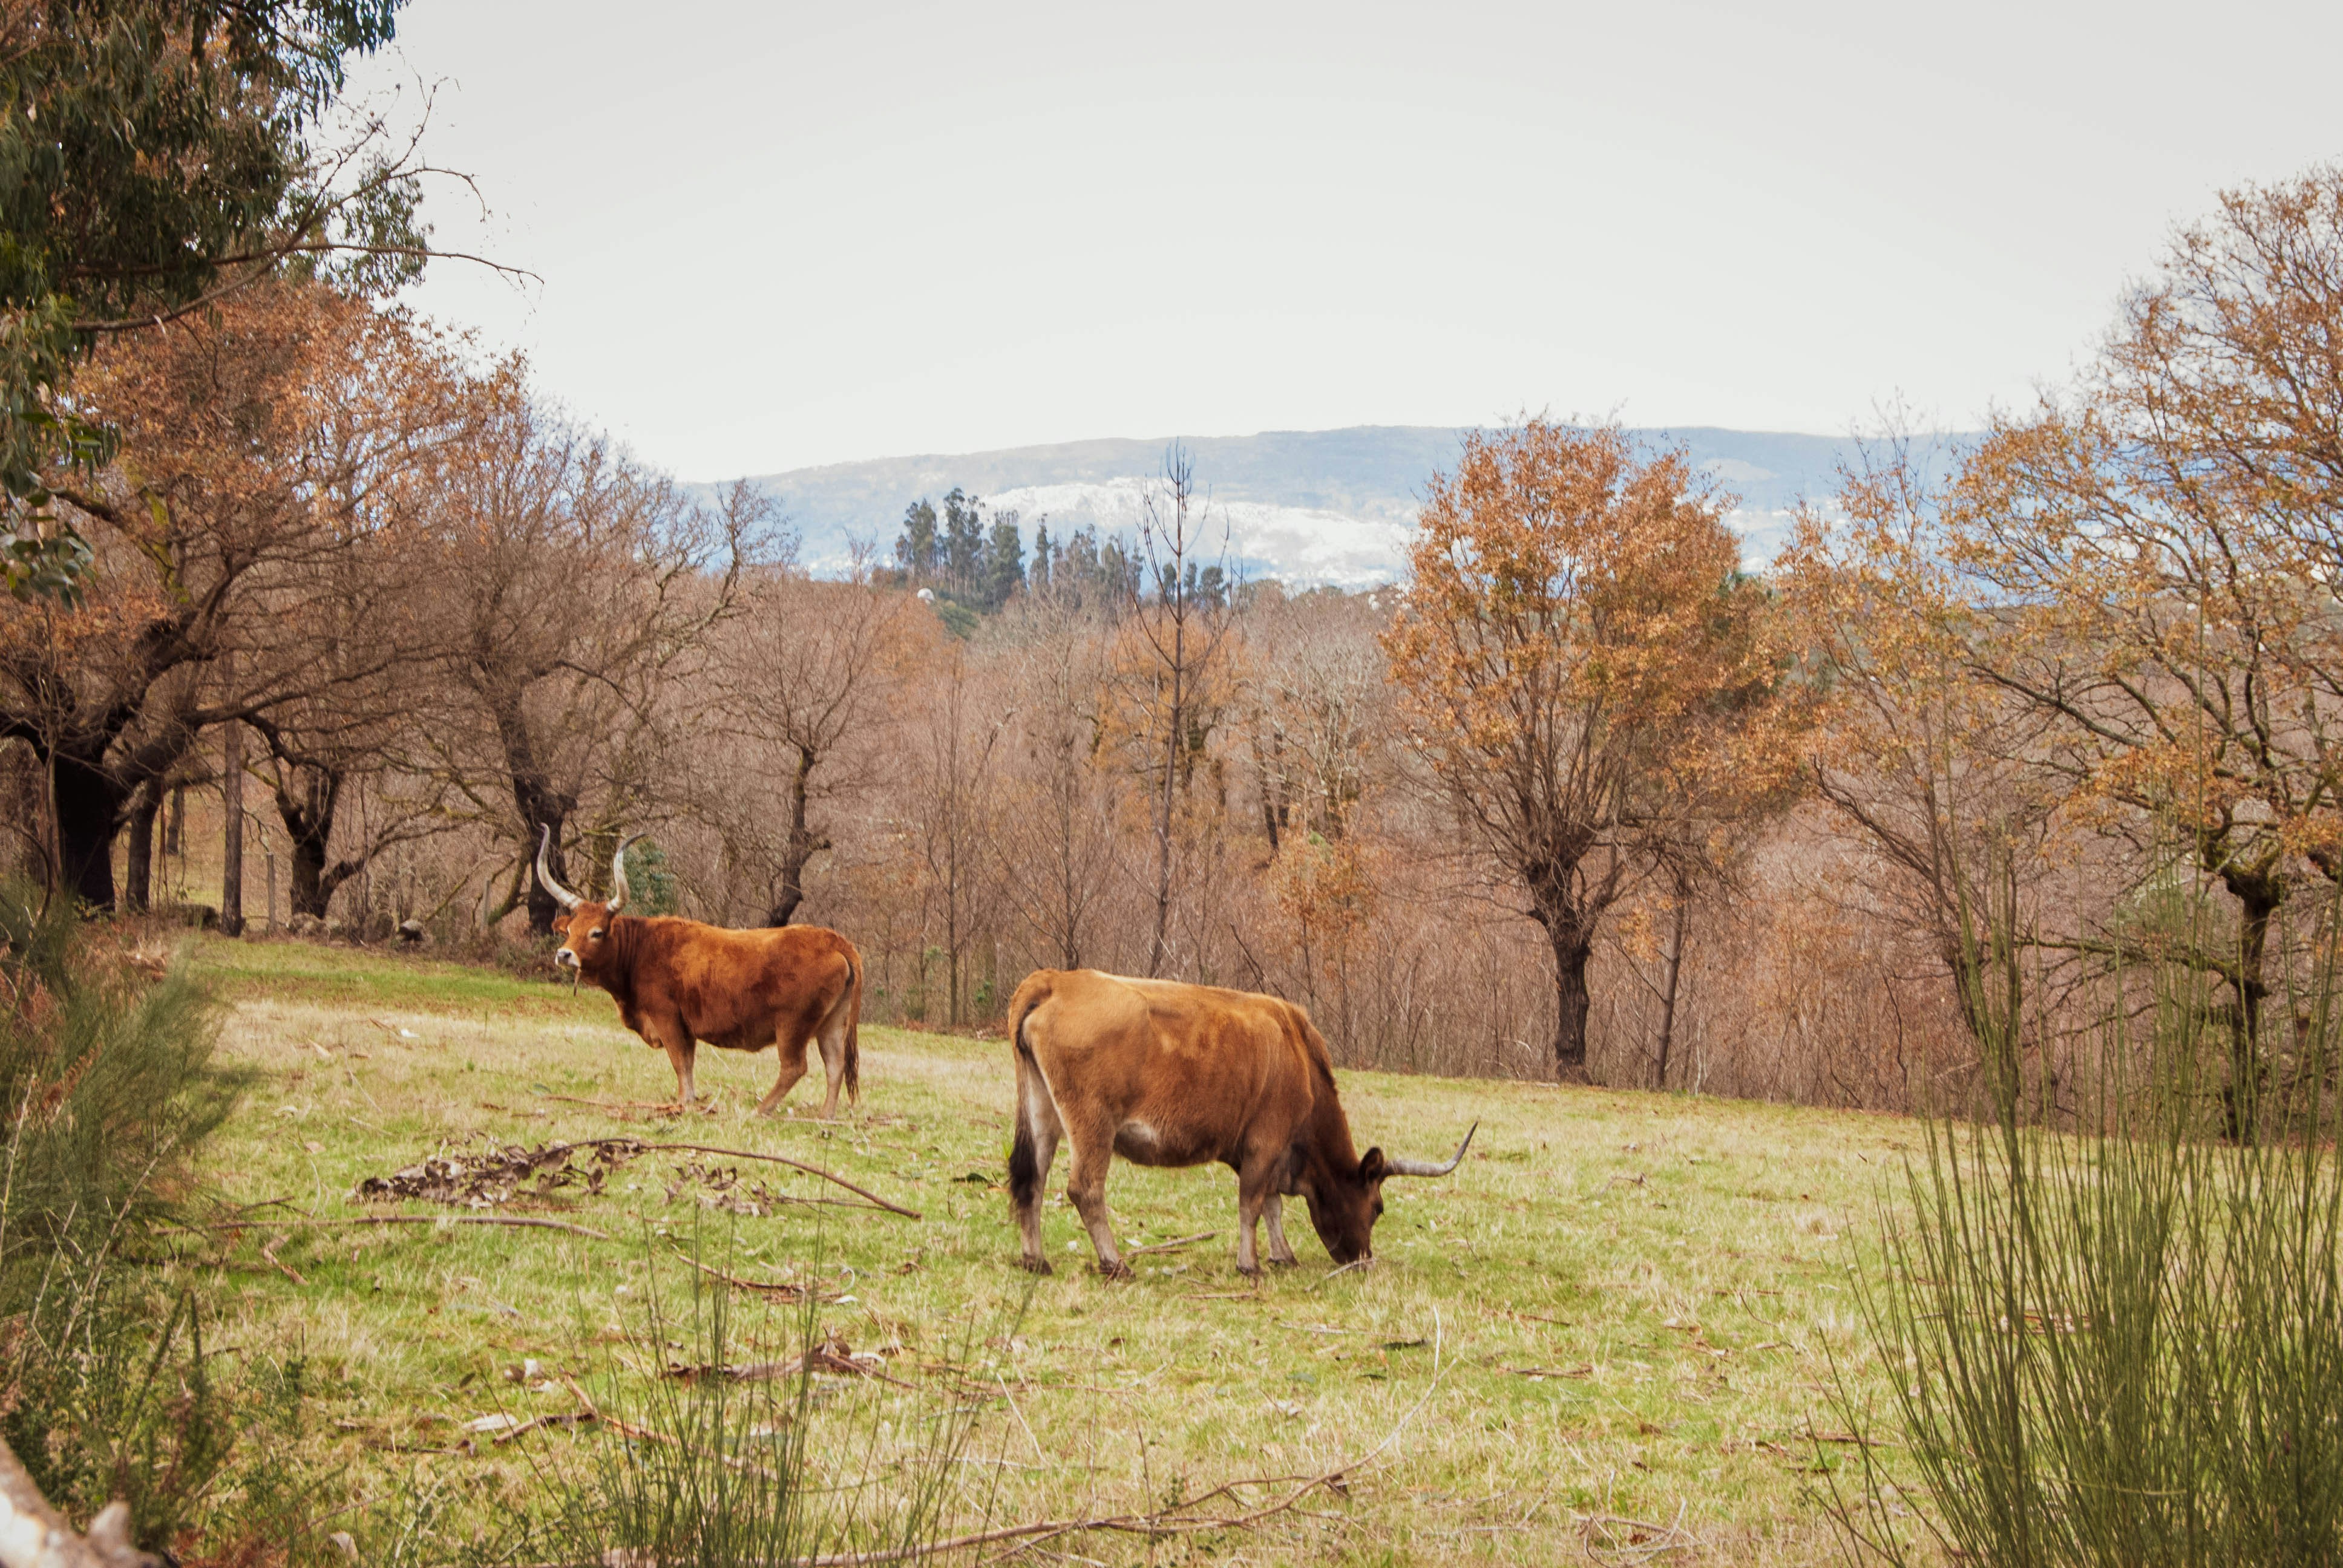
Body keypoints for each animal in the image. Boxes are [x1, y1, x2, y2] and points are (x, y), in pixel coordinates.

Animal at [536, 829, 867, 1111]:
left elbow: (679, 1061)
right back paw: (825, 1116)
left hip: (792, 1025)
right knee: (835, 1065)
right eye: (570, 930)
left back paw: (760, 1110)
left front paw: (684, 1103)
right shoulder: (687, 1026)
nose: (564, 954)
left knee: (795, 1067)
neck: (642, 947)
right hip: (832, 1023)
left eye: (597, 932)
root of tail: (832, 939)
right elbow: (688, 1062)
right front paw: (691, 1100)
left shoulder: (666, 1016)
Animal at [1003, 970, 1471, 1275]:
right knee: (1085, 1188)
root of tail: (1057, 979)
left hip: (1042, 1111)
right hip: (1092, 1122)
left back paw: (1035, 1260)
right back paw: (1115, 1263)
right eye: (1378, 1207)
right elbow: (1253, 1202)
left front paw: (1282, 1255)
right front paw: (1251, 1264)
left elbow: (1271, 1203)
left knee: (1032, 1181)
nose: (1362, 1260)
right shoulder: (1266, 1140)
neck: (1297, 1051)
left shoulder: (1266, 1150)